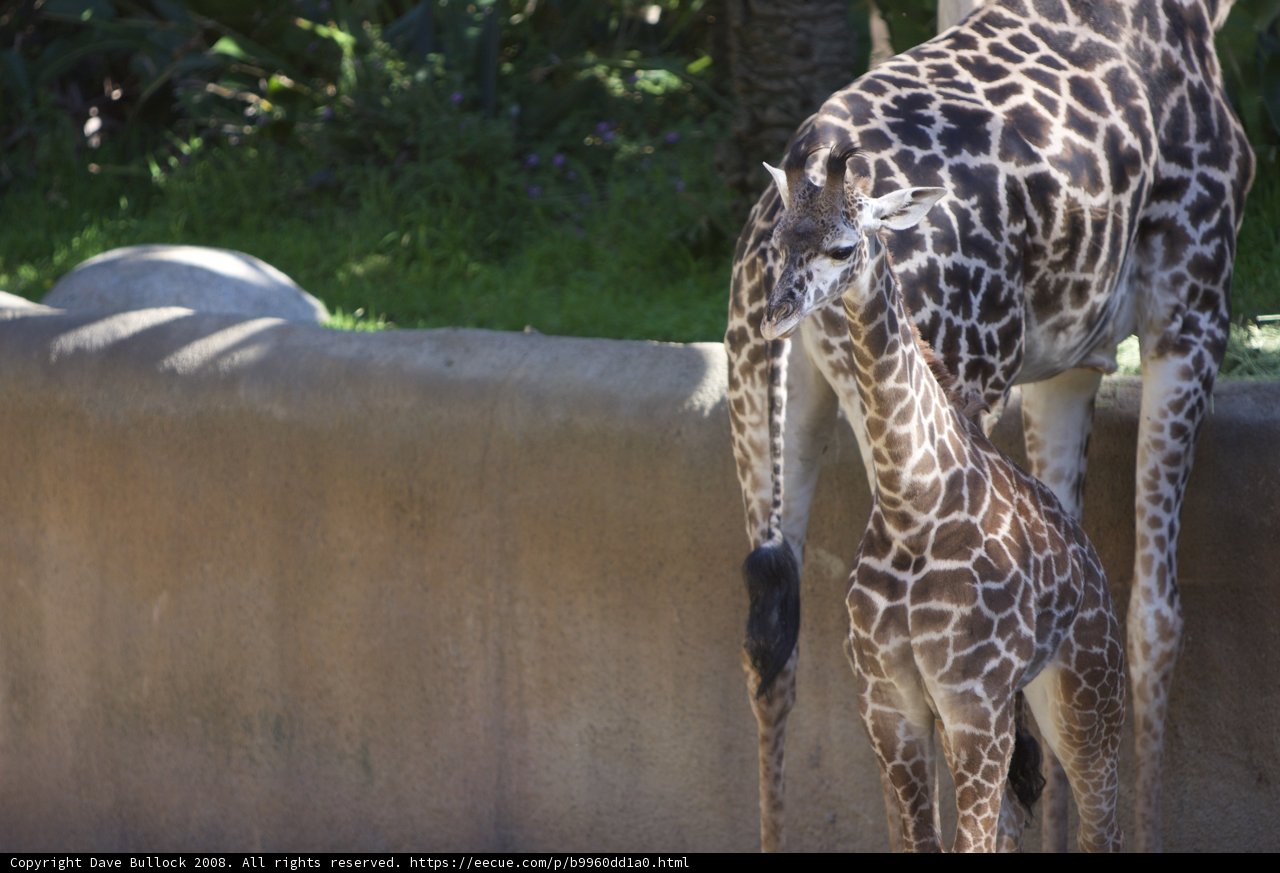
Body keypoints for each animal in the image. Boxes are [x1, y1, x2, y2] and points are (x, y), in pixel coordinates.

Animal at [762, 146, 1126, 852]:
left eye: (844, 246)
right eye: (780, 241)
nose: (776, 314)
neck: (915, 509)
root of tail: (1093, 571)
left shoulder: (973, 707)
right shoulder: (887, 705)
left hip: (1088, 699)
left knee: (1102, 826)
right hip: (1029, 705)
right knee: (1018, 816)